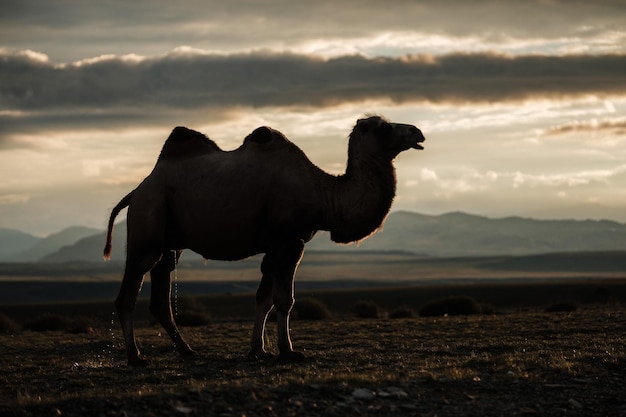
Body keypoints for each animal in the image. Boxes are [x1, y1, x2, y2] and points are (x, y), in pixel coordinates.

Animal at [103, 116, 424, 364]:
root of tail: (136, 190)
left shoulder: (277, 245)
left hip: (170, 243)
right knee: (127, 294)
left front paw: (259, 351)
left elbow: (264, 298)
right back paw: (135, 357)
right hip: (147, 225)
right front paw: (288, 351)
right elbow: (284, 299)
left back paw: (186, 350)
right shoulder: (289, 240)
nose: (417, 131)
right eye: (384, 127)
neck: (323, 194)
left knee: (161, 294)